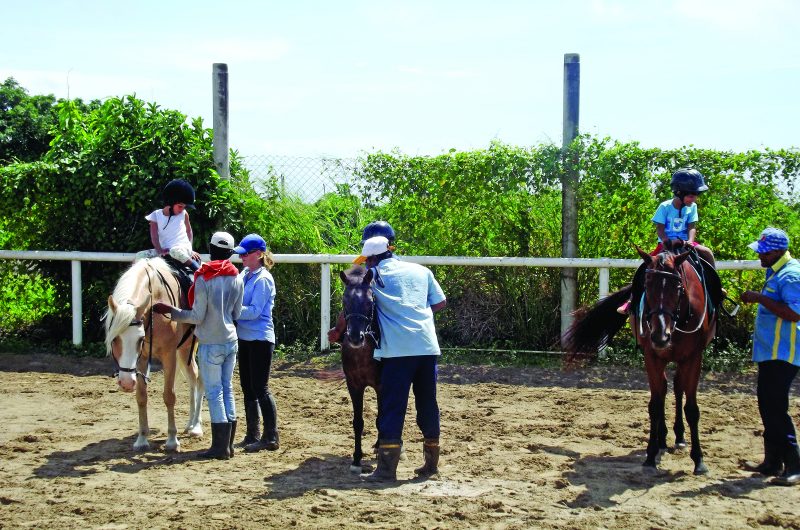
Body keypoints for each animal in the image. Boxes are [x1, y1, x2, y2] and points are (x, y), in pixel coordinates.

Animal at [104, 256, 203, 450]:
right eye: (114, 339)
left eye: (140, 339)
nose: (126, 383)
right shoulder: (141, 358)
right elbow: (141, 397)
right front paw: (142, 438)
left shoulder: (169, 355)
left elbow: (169, 396)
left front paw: (172, 440)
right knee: (192, 377)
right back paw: (190, 424)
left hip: (191, 347)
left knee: (198, 378)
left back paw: (195, 426)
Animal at [564, 248, 720, 474]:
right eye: (647, 285)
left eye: (678, 287)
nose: (660, 336)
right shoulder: (651, 356)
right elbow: (655, 404)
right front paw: (650, 455)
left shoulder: (693, 357)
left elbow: (691, 409)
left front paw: (699, 460)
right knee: (664, 389)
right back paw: (663, 438)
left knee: (677, 387)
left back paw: (679, 436)